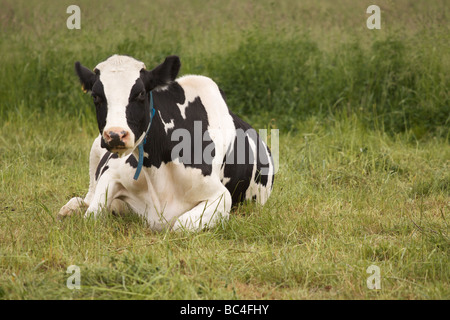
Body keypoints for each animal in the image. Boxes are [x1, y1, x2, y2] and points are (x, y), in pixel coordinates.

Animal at [56, 53, 274, 231]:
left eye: (141, 93)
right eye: (96, 96)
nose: (116, 134)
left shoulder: (220, 196)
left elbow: (180, 225)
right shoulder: (112, 173)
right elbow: (91, 215)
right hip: (95, 149)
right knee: (86, 197)